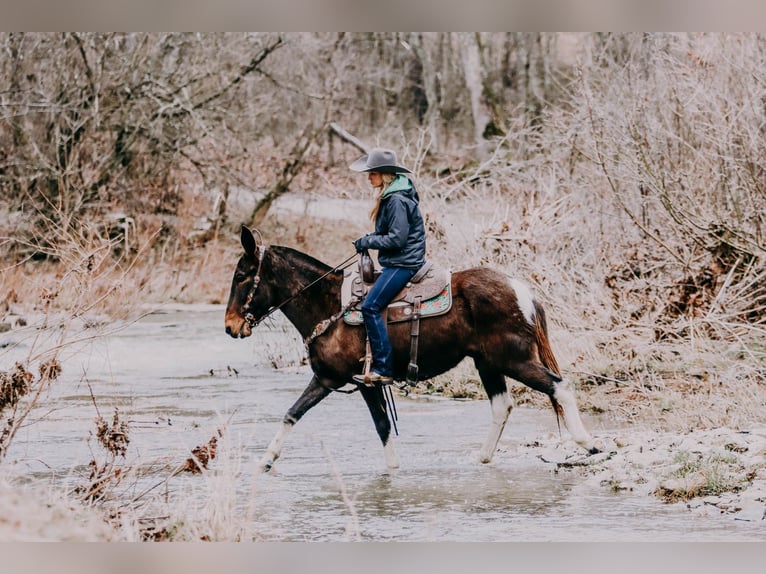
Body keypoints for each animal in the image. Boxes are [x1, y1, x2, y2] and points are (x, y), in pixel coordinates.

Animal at [225, 227, 604, 474]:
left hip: (514, 359)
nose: (230, 326)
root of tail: (522, 290)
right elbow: (293, 413)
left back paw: (589, 444)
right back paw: (482, 458)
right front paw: (266, 460)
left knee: (559, 386)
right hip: (488, 363)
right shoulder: (328, 378)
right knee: (502, 405)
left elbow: (381, 426)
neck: (329, 306)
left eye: (242, 275)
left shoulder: (363, 382)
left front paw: (392, 472)